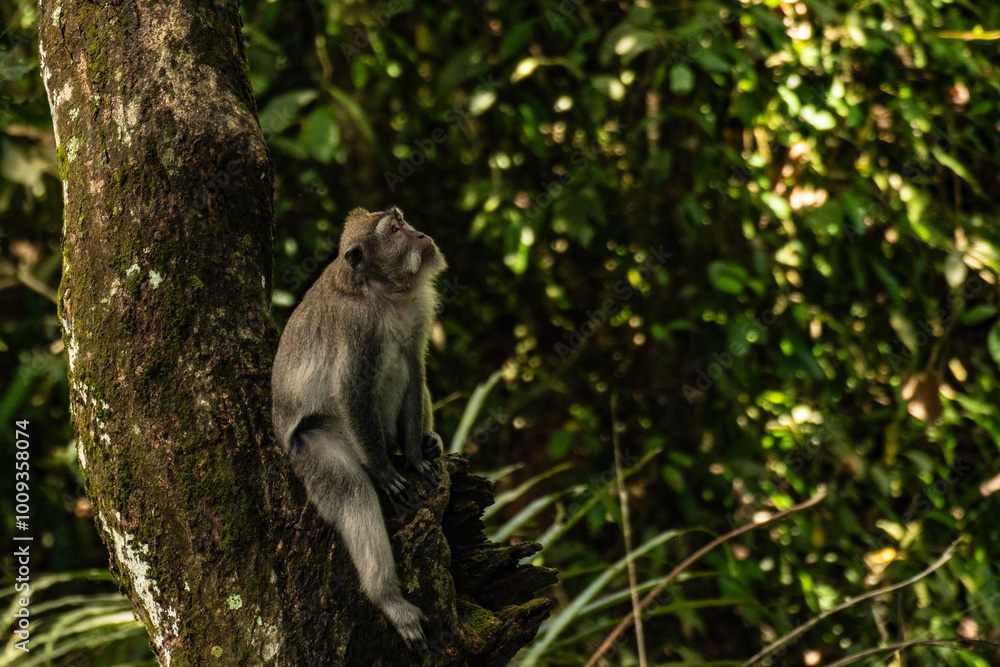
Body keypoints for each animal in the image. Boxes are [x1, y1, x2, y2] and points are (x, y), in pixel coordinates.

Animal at [271, 206, 446, 650]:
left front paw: (416, 457)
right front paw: (387, 474)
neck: (384, 293)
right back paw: (389, 598)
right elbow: (351, 390)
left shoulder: (418, 308)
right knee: (351, 491)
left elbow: (415, 367)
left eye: (404, 222)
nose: (421, 234)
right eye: (396, 230)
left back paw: (426, 442)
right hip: (313, 445)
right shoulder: (357, 325)